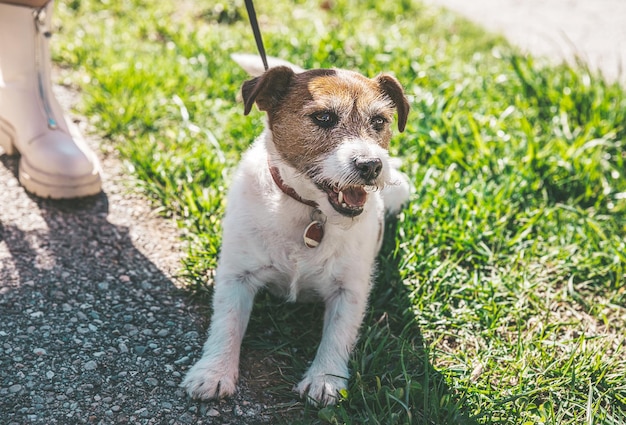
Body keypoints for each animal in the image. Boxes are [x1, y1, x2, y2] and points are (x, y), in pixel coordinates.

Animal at [180, 56, 410, 404]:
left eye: (379, 121)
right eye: (324, 117)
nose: (371, 165)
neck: (310, 210)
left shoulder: (349, 289)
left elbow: (338, 333)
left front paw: (325, 380)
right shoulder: (236, 275)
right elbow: (227, 322)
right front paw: (214, 372)